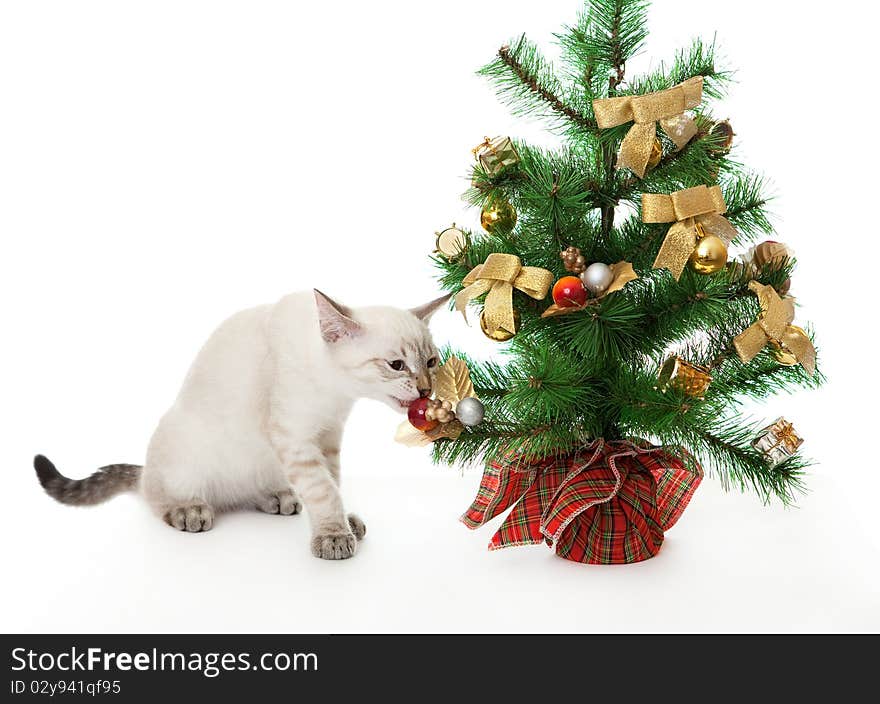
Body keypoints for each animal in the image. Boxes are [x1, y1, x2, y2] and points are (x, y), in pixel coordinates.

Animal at [33, 288, 446, 560]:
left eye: (431, 362)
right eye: (396, 365)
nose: (427, 390)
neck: (335, 392)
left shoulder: (327, 435)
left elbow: (332, 482)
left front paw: (341, 523)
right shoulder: (295, 436)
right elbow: (324, 489)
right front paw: (333, 536)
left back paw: (278, 498)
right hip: (184, 455)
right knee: (157, 497)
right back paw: (189, 510)